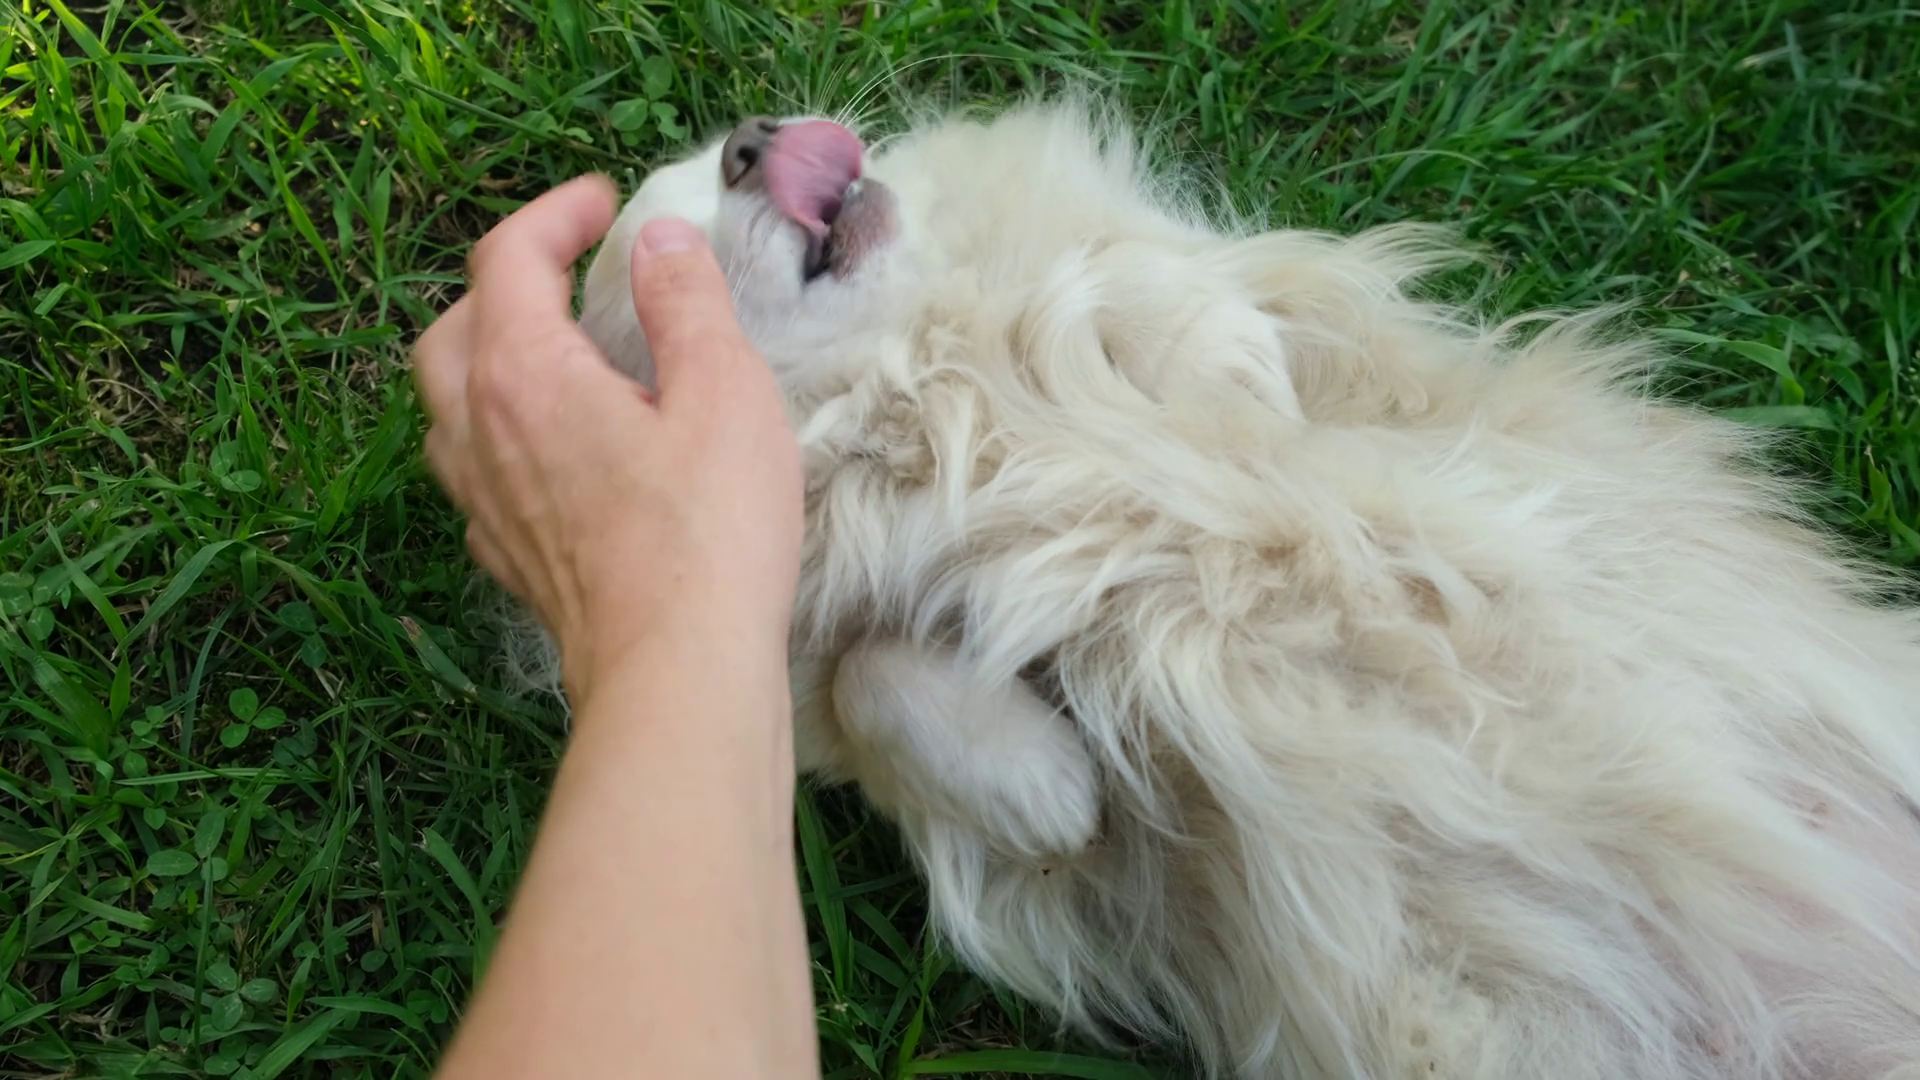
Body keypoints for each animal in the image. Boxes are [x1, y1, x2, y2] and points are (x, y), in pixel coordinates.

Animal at [534, 98, 1920, 1078]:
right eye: (665, 252)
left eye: (723, 158)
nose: (760, 142)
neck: (921, 379)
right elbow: (887, 677)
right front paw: (1042, 786)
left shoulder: (1285, 316)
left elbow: (1162, 294)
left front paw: (1207, 380)